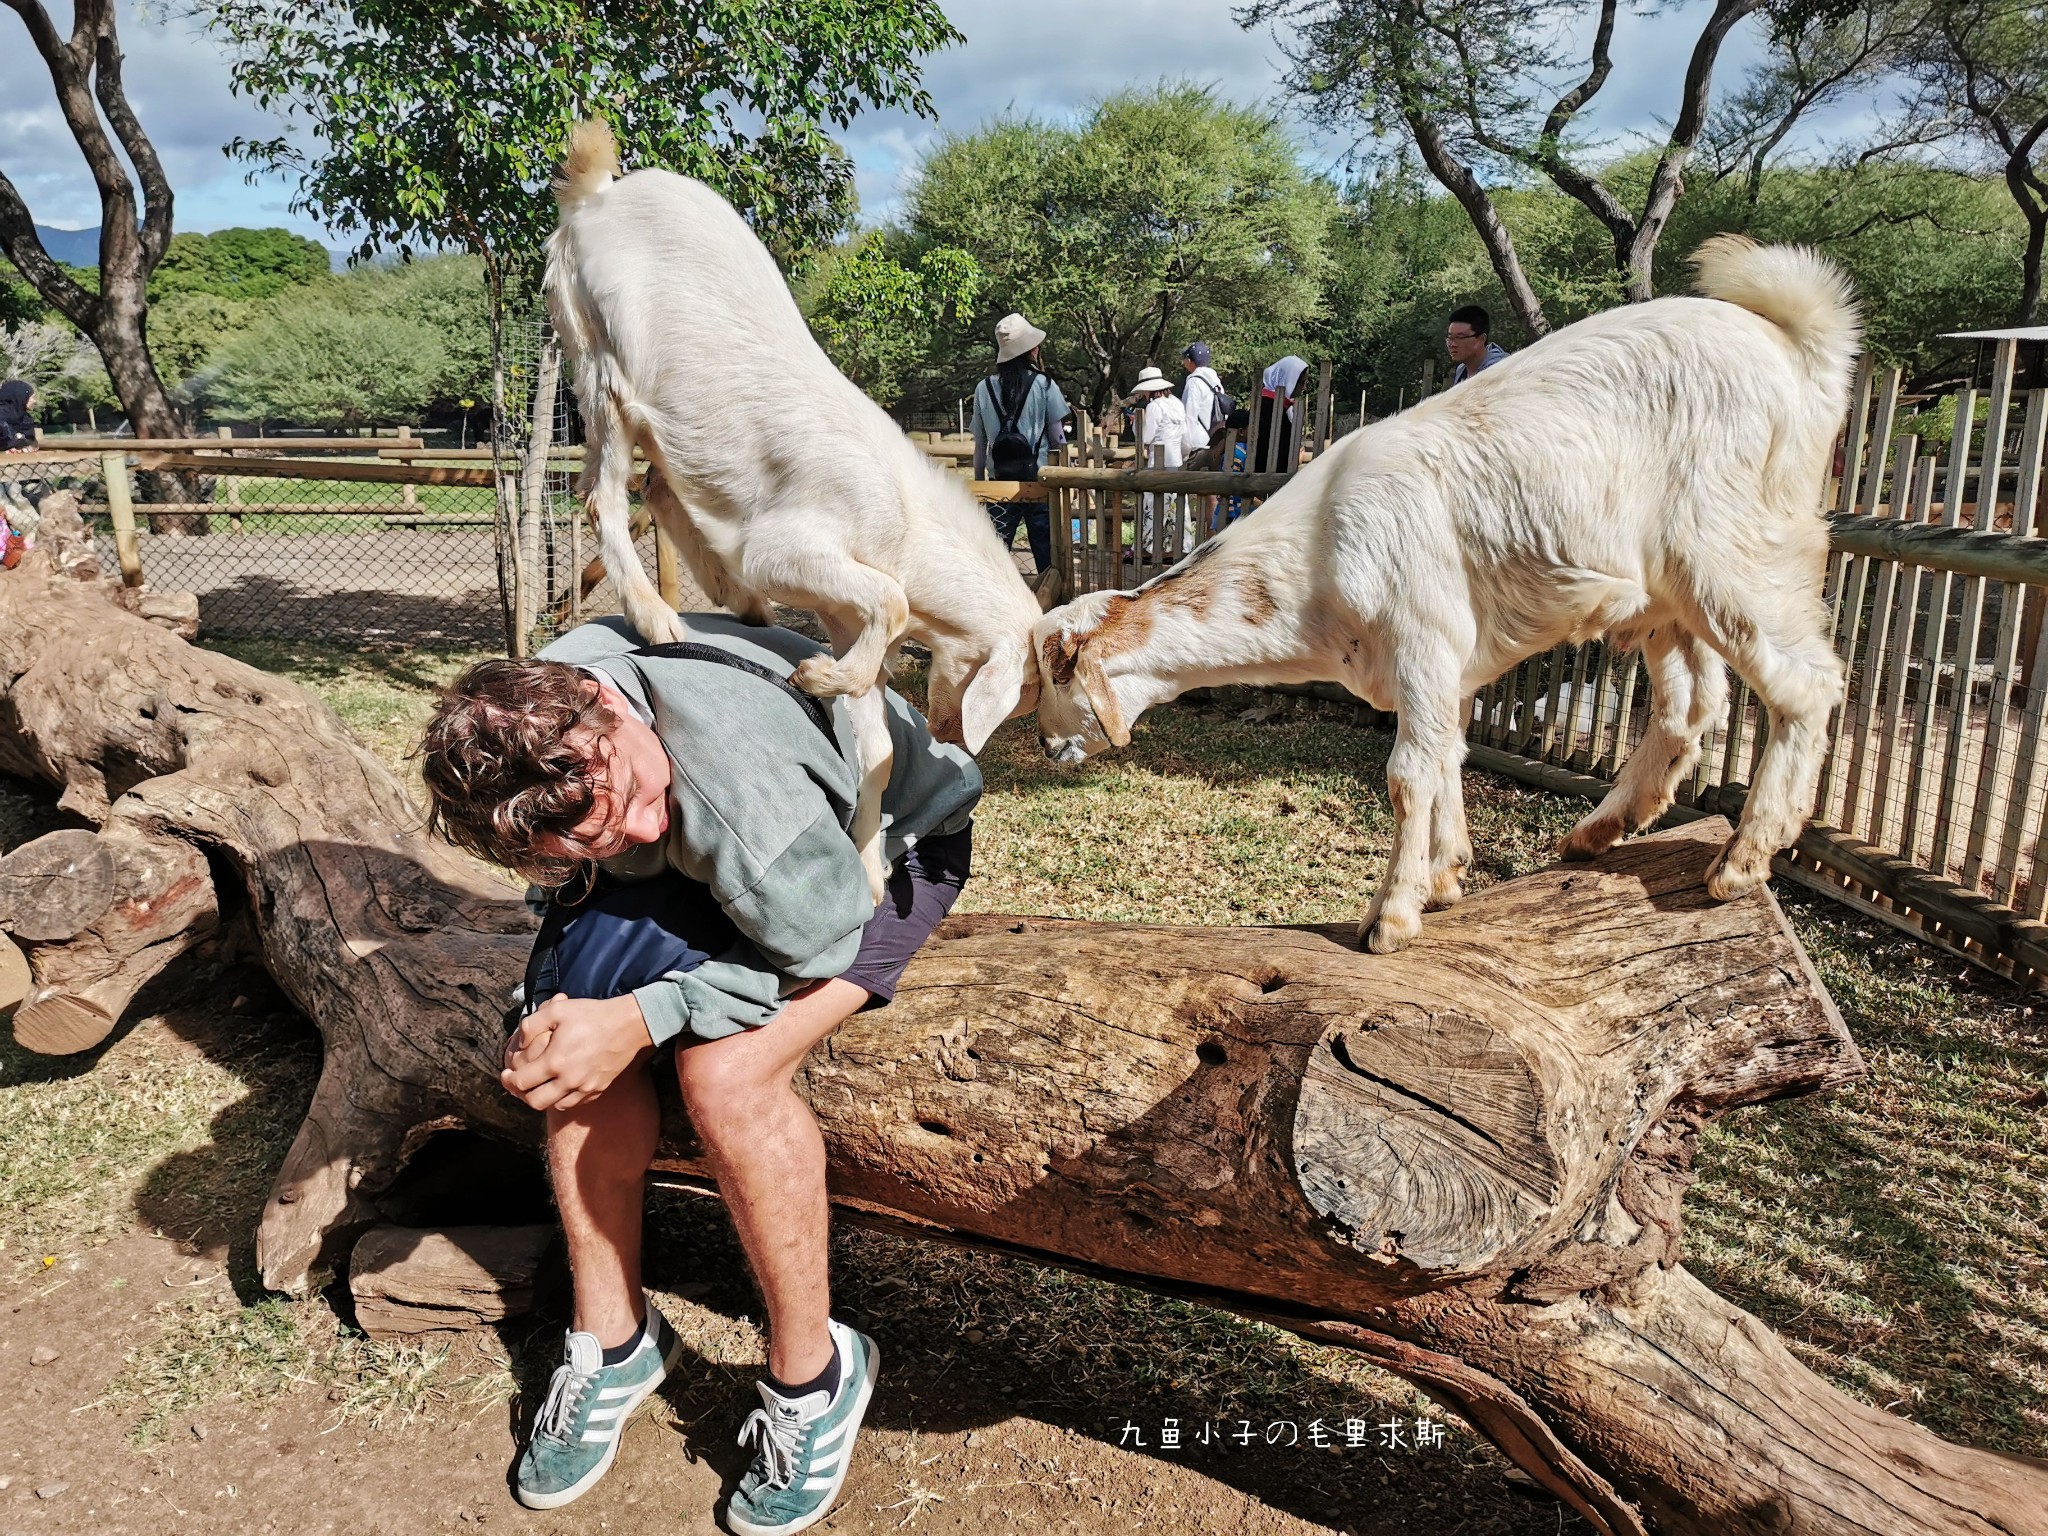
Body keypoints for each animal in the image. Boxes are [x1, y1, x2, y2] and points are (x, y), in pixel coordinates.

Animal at [544, 126, 1040, 909]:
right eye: (1018, 698)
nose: (949, 732)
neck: (906, 522)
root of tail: (597, 190)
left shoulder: (841, 612)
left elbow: (878, 742)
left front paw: (868, 871)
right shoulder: (792, 549)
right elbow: (893, 604)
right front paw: (811, 678)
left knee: (659, 487)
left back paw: (739, 600)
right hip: (599, 362)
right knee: (605, 494)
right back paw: (658, 616)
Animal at [1040, 234, 1859, 958]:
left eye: (1054, 676)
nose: (1048, 749)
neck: (1319, 554)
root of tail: (1799, 349)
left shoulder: (1425, 641)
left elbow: (1409, 777)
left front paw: (1391, 917)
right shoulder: (1443, 671)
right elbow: (1447, 760)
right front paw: (1444, 877)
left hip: (1737, 555)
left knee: (1807, 684)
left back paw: (1743, 859)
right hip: (1666, 601)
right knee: (1691, 706)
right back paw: (1596, 832)